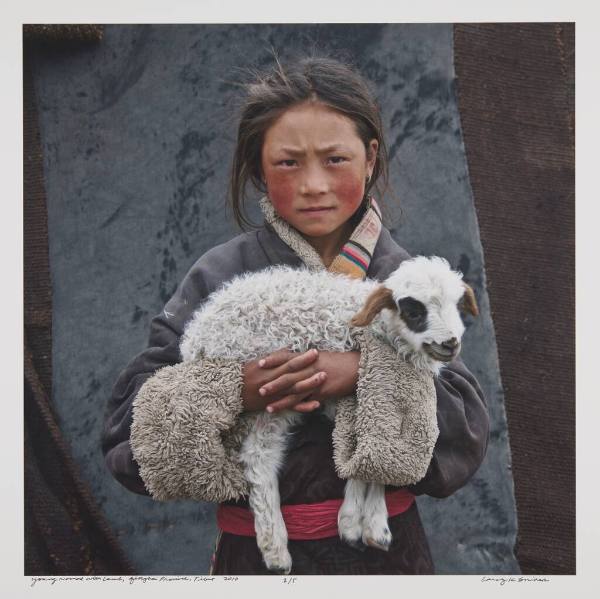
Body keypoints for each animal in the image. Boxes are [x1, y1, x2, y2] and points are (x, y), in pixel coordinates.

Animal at [178, 255, 478, 576]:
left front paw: (375, 526)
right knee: (258, 457)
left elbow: (381, 457)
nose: (450, 344)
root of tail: (196, 338)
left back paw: (275, 550)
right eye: (413, 310)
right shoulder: (350, 395)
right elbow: (361, 457)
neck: (380, 330)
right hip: (269, 389)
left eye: (456, 305)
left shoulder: (379, 400)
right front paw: (352, 524)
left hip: (274, 404)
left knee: (259, 455)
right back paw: (277, 547)